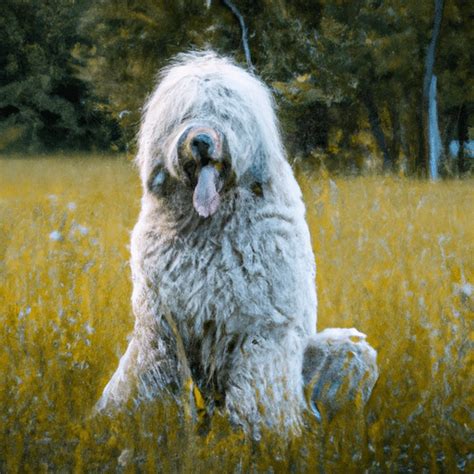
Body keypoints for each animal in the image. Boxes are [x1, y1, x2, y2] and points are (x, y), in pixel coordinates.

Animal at [97, 51, 378, 434]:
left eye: (225, 112)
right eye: (184, 115)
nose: (201, 140)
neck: (208, 226)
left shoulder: (261, 329)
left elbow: (259, 388)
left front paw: (266, 434)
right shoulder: (162, 327)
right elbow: (150, 376)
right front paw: (136, 419)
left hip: (347, 351)